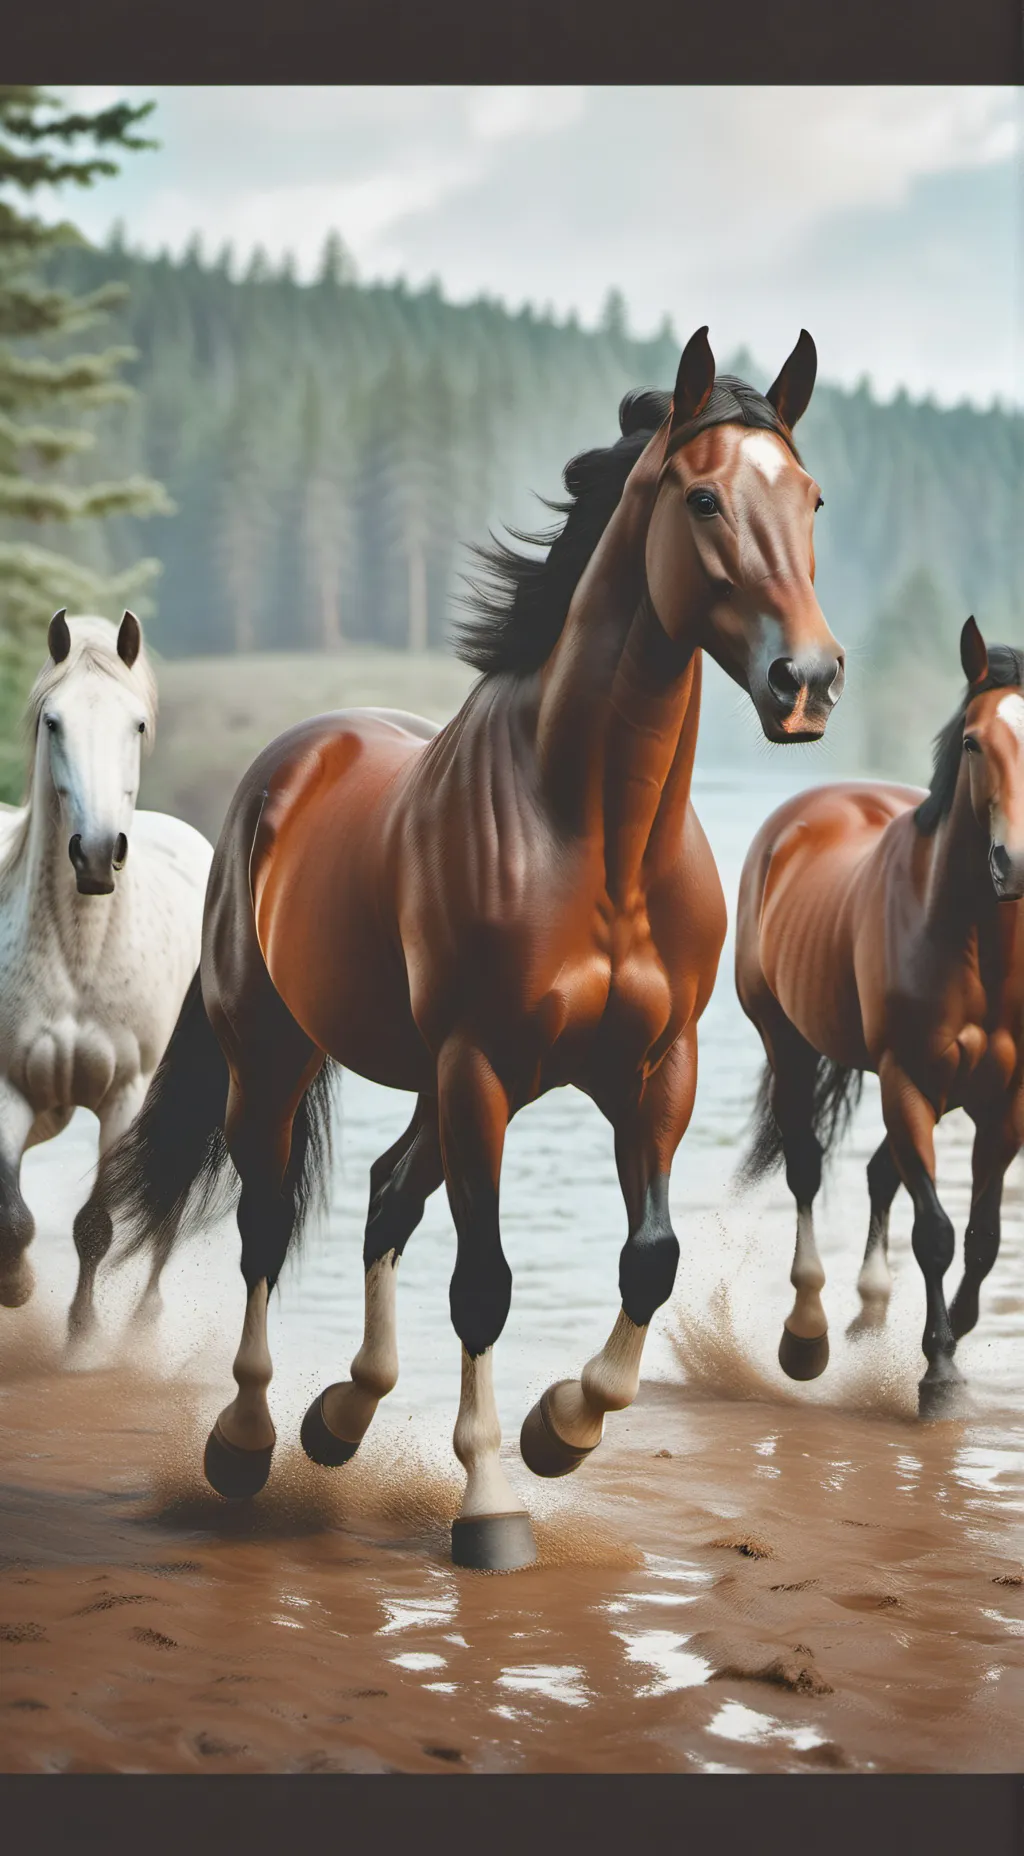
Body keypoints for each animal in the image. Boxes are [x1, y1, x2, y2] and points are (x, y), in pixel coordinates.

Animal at [0, 610, 213, 1340]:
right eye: (53, 721)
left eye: (136, 725)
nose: (95, 854)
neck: (80, 952)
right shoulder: (11, 1087)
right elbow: (13, 1219)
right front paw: (16, 1286)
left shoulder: (125, 1093)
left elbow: (96, 1226)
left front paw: (83, 1338)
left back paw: (142, 1324)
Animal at [93, 325, 843, 1572]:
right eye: (702, 497)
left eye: (811, 495)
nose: (808, 683)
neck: (593, 837)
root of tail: (286, 763)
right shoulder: (479, 1066)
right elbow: (483, 1282)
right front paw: (493, 1500)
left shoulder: (655, 1070)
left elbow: (650, 1257)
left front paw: (561, 1428)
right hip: (282, 1056)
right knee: (264, 1225)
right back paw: (247, 1442)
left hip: (442, 1089)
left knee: (388, 1194)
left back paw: (340, 1419)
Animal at [736, 616, 1024, 1419]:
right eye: (972, 742)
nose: (1014, 863)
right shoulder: (910, 1079)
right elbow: (937, 1233)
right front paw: (940, 1372)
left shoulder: (1006, 1103)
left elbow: (985, 1237)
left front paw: (955, 1330)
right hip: (787, 1040)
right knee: (808, 1166)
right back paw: (806, 1336)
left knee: (877, 1174)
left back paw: (870, 1310)